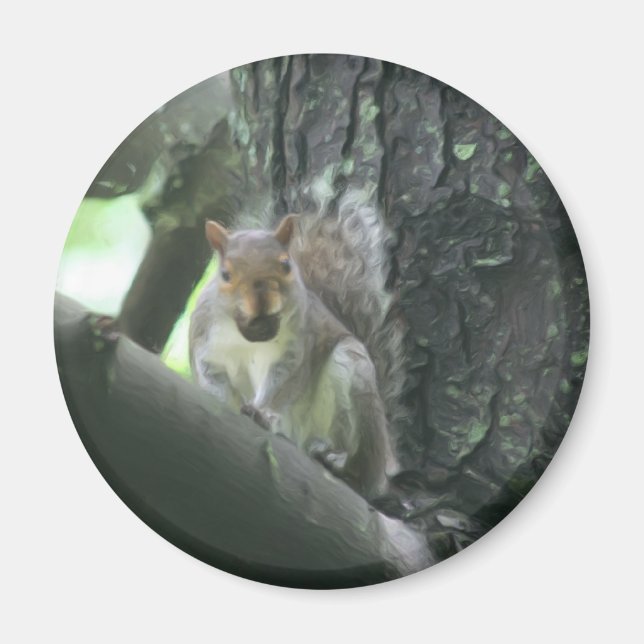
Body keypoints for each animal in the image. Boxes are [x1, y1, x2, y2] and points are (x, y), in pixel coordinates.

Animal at [188, 189, 405, 500]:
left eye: (286, 265)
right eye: (225, 274)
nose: (262, 304)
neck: (248, 335)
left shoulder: (297, 349)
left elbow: (284, 383)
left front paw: (261, 412)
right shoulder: (205, 344)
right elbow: (210, 377)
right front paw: (220, 401)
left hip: (354, 375)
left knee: (364, 471)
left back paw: (341, 463)